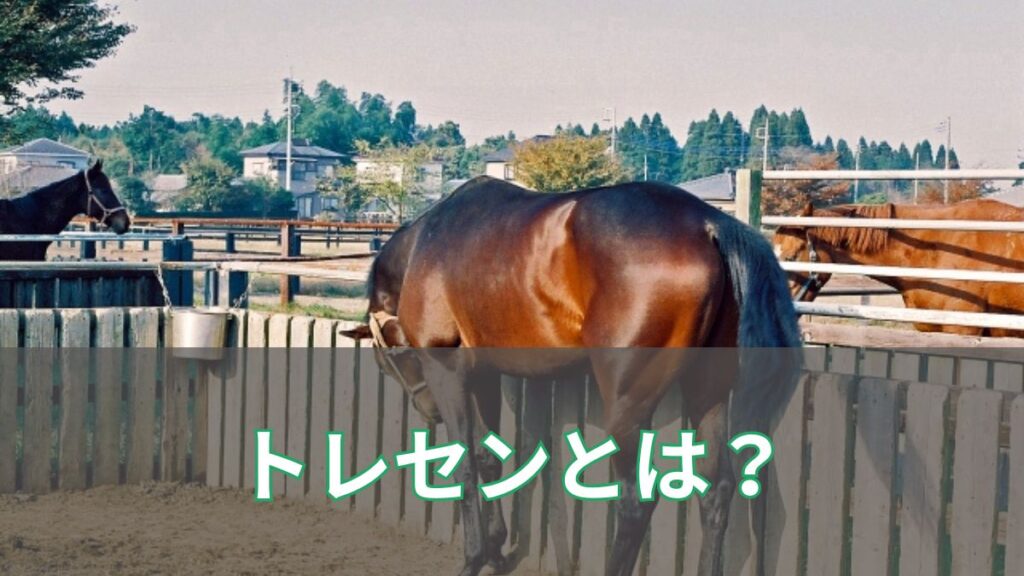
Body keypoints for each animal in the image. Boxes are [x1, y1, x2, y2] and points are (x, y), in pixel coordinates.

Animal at [342, 176, 801, 576]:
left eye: (389, 358)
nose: (429, 410)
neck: (427, 243)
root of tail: (707, 223)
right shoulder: (486, 372)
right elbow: (489, 459)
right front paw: (496, 549)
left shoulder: (447, 369)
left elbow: (467, 463)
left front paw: (474, 558)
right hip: (708, 390)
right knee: (716, 490)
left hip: (628, 402)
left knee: (636, 501)